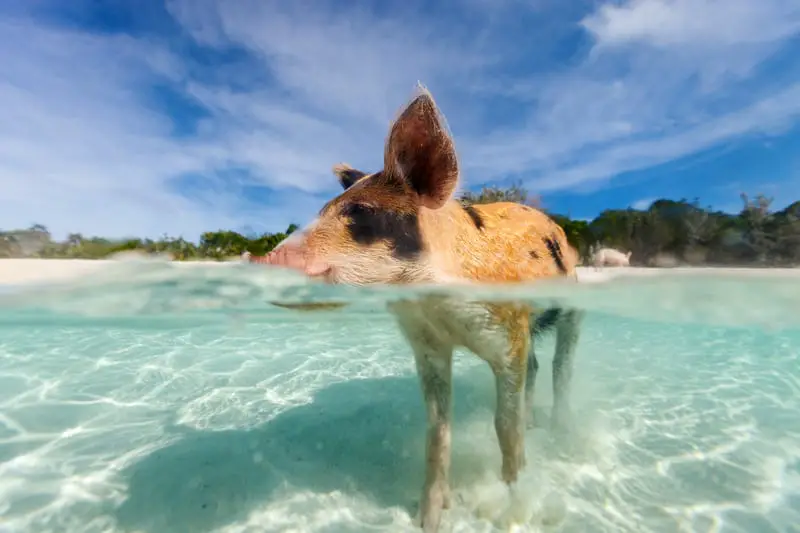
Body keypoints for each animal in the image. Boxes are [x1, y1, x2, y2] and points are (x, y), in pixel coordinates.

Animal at [253, 85, 584, 528]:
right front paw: (428, 520)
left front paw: (513, 513)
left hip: (573, 303)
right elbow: (437, 430)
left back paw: (562, 435)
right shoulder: (427, 346)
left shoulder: (508, 329)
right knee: (534, 367)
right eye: (322, 211)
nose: (261, 260)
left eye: (361, 213)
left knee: (560, 367)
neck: (433, 306)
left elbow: (504, 427)